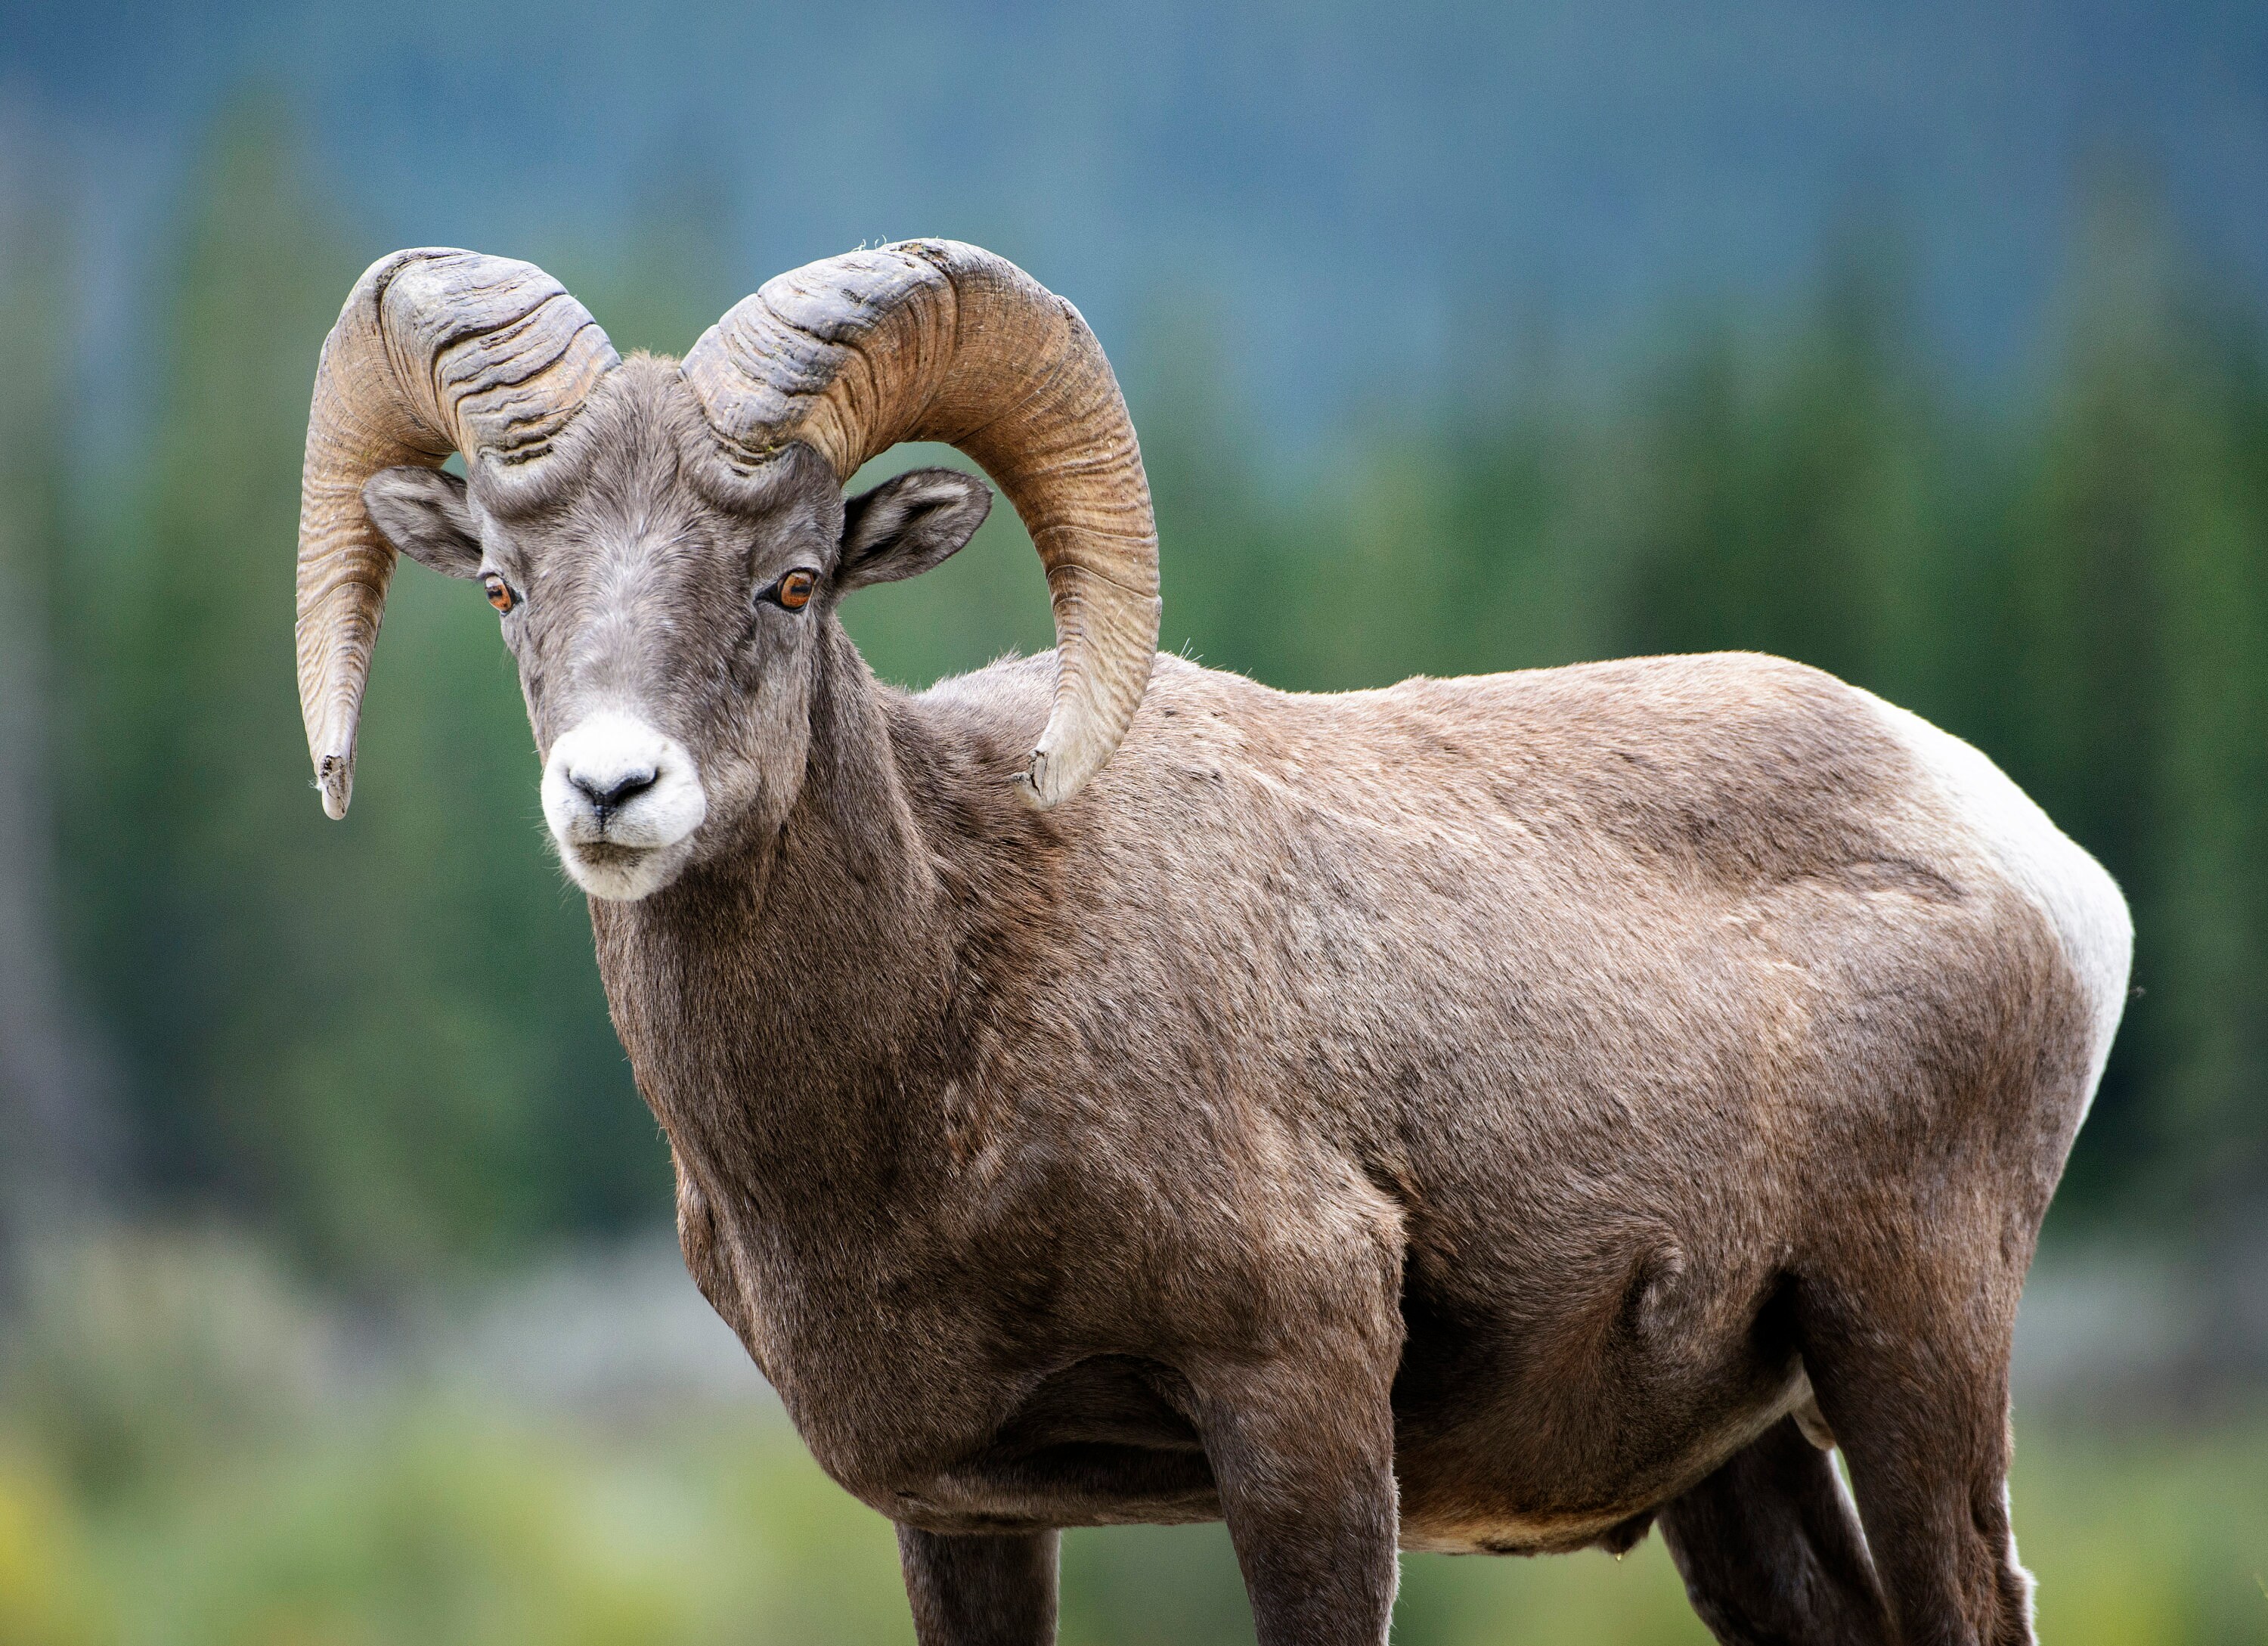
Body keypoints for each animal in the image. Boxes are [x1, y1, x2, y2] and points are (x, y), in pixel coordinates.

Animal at [294, 241, 2132, 1646]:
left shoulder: (1299, 1413)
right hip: (1737, 1461)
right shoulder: (960, 1510)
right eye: (509, 589)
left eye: (795, 580)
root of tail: (2046, 867)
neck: (933, 1062)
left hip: (1912, 1346)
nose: (613, 789)